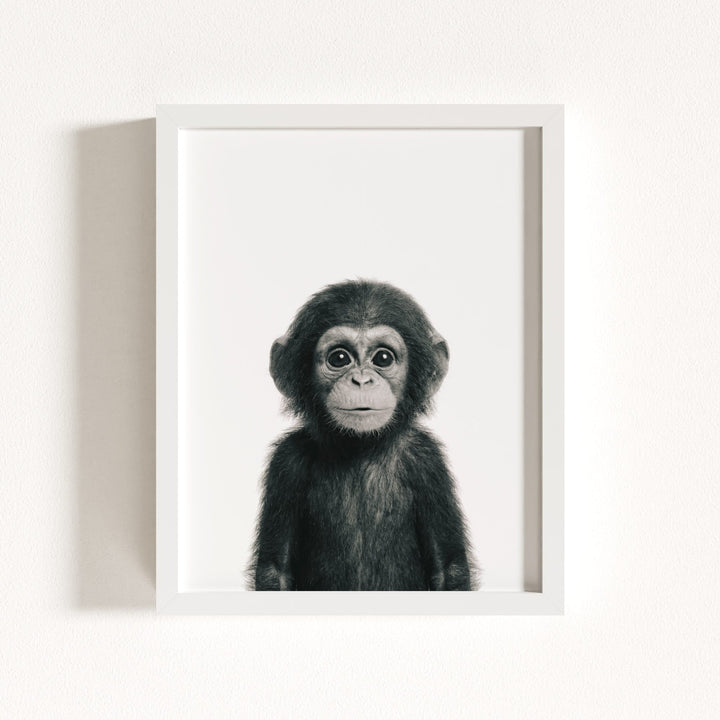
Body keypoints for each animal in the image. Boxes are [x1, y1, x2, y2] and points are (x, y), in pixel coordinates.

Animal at [248, 279, 476, 591]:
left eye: (383, 358)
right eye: (339, 358)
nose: (361, 380)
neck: (360, 447)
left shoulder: (428, 461)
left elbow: (449, 569)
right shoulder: (286, 462)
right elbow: (275, 570)